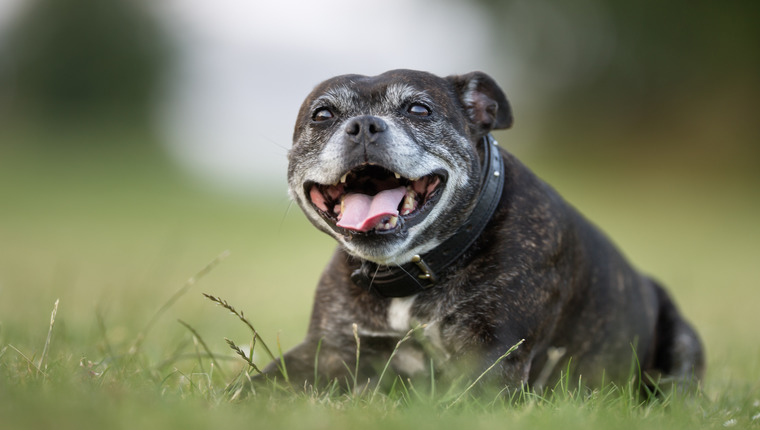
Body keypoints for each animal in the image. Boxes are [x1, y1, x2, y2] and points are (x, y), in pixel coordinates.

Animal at [262, 68, 708, 394]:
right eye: (323, 115)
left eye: (419, 109)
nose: (364, 125)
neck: (417, 269)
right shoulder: (327, 351)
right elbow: (257, 388)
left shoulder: (492, 359)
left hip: (680, 347)